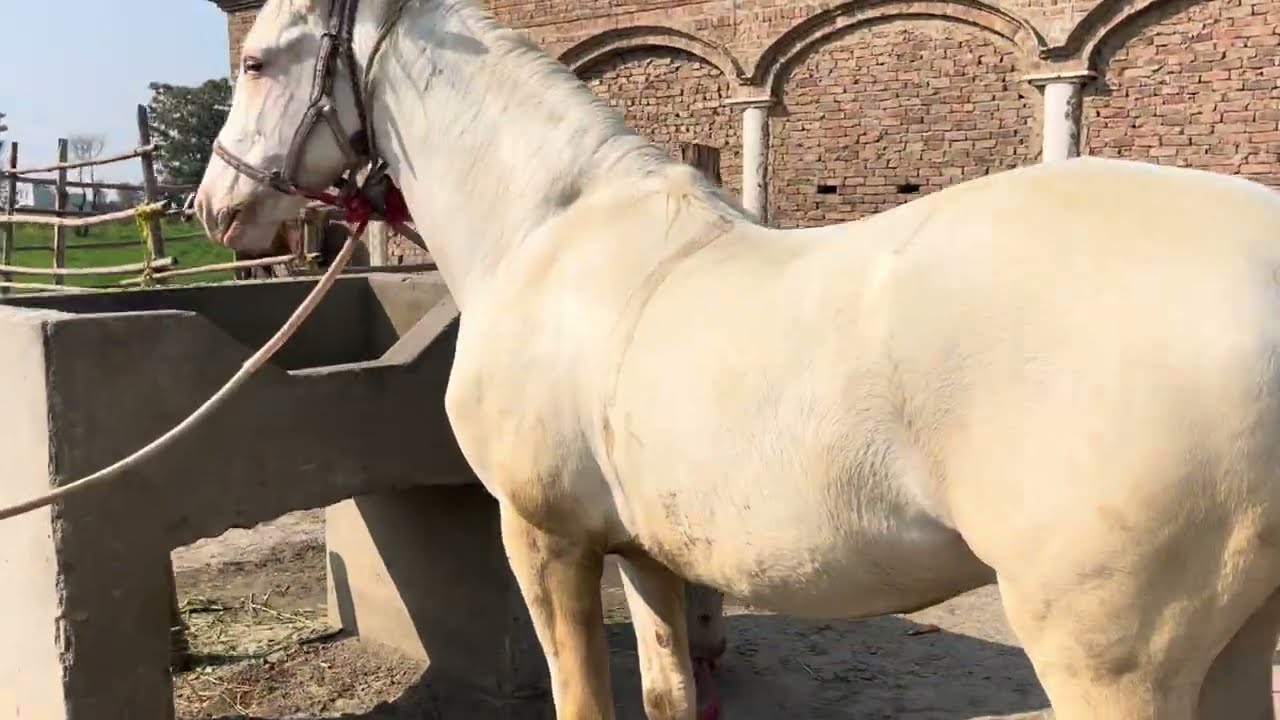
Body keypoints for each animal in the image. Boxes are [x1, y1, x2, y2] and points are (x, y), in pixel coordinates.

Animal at [192, 1, 1280, 718]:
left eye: (257, 62)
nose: (216, 206)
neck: (547, 235)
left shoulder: (545, 539)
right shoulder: (642, 550)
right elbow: (670, 694)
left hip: (1112, 662)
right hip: (1234, 642)